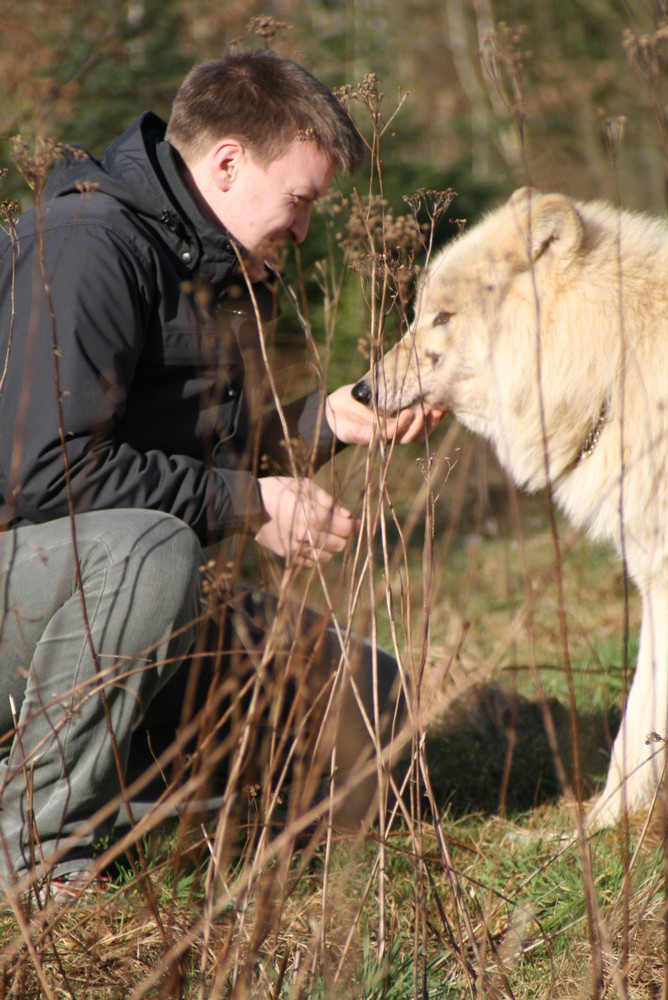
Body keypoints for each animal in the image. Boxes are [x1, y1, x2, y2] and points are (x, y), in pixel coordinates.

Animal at [352, 188, 668, 828]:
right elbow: (635, 728)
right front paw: (601, 827)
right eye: (419, 314)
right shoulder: (654, 580)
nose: (361, 392)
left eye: (442, 317)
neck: (619, 361)